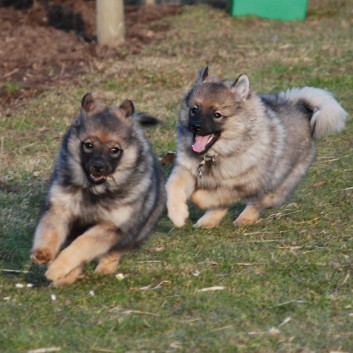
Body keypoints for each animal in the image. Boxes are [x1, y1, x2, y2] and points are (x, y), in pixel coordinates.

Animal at [32, 93, 166, 286]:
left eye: (115, 150)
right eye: (88, 145)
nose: (98, 166)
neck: (95, 191)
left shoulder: (110, 227)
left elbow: (81, 245)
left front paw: (57, 268)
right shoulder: (59, 209)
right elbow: (50, 232)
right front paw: (44, 255)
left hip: (137, 230)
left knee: (115, 250)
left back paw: (103, 269)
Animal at [166, 66, 346, 228]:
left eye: (217, 114)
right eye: (194, 110)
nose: (195, 127)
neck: (213, 156)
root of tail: (300, 109)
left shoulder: (245, 185)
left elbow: (206, 197)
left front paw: (196, 197)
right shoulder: (186, 169)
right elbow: (173, 186)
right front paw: (178, 216)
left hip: (278, 184)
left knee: (257, 203)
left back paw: (244, 219)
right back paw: (207, 222)